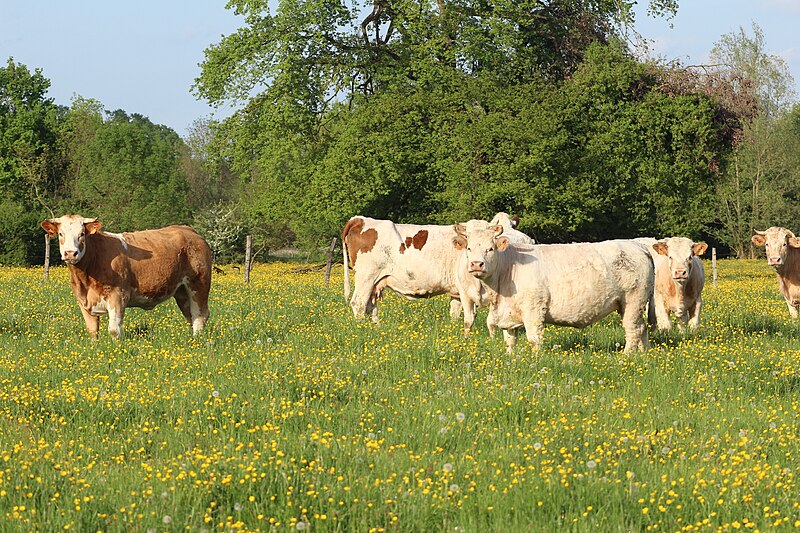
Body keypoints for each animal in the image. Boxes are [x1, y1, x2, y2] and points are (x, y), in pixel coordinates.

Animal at [41, 214, 211, 338]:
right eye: (61, 234)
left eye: (82, 234)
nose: (70, 253)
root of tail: (189, 230)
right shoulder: (83, 301)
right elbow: (92, 331)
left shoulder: (118, 295)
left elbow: (114, 329)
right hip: (181, 291)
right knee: (191, 315)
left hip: (198, 285)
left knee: (200, 315)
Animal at [340, 212, 536, 324]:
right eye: (469, 241)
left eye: (491, 244)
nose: (476, 262)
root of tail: (360, 220)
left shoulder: (457, 290)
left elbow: (455, 312)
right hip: (366, 277)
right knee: (358, 303)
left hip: (375, 282)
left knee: (369, 305)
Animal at [454, 222, 652, 356]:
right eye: (469, 248)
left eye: (491, 249)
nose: (476, 264)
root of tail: (638, 246)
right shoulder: (508, 312)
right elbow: (510, 340)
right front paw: (510, 358)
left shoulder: (533, 308)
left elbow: (534, 339)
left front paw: (535, 360)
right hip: (631, 305)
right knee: (642, 328)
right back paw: (644, 354)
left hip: (633, 302)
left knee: (633, 330)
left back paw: (626, 356)